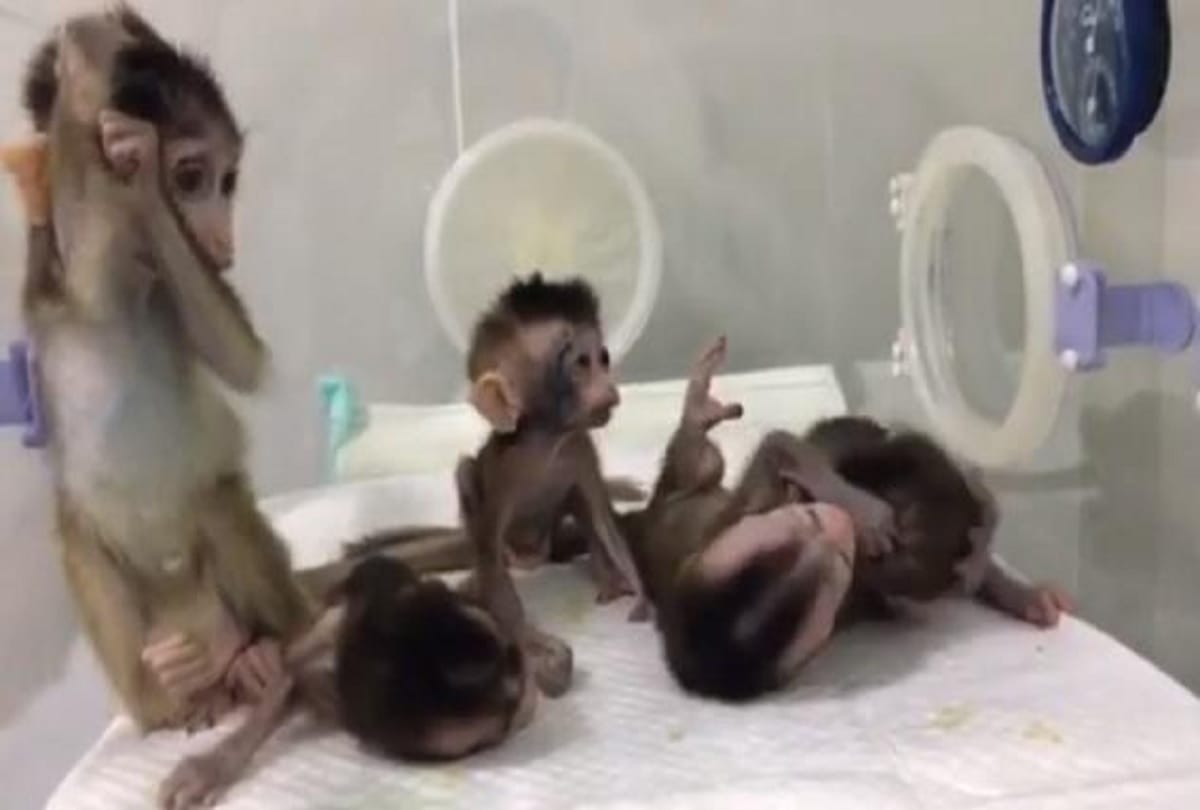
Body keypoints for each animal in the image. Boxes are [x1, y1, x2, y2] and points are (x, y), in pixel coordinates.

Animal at [0, 9, 311, 731]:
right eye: (193, 176)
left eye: (228, 182)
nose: (224, 239)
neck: (140, 278)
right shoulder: (67, 267)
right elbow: (83, 269)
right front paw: (85, 81)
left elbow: (241, 362)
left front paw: (92, 56)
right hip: (122, 597)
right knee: (78, 538)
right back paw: (180, 690)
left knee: (216, 498)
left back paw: (267, 655)